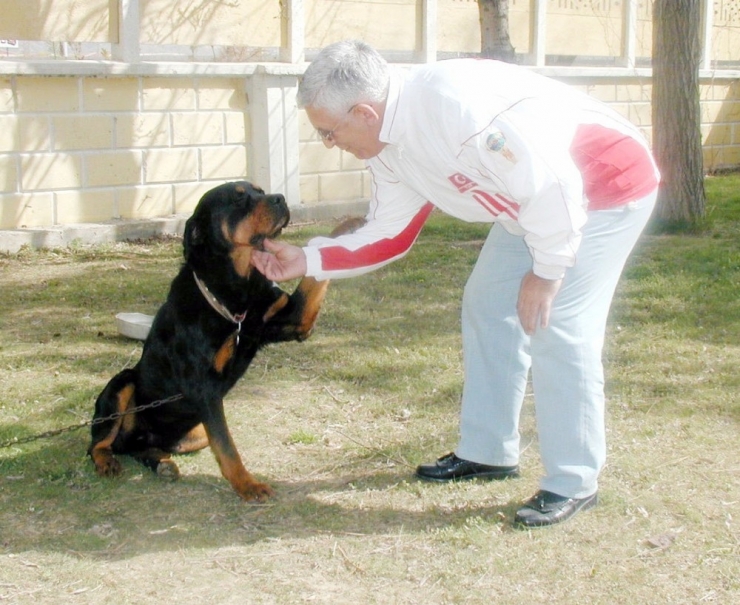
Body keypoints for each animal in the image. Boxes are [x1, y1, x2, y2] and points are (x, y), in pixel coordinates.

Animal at [87, 180, 356, 500]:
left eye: (260, 191)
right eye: (238, 200)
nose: (280, 198)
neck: (237, 289)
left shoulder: (294, 320)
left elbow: (313, 281)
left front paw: (347, 228)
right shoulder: (204, 387)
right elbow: (227, 447)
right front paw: (248, 485)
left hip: (194, 435)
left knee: (141, 448)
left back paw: (162, 463)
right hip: (123, 383)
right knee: (99, 444)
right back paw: (108, 461)